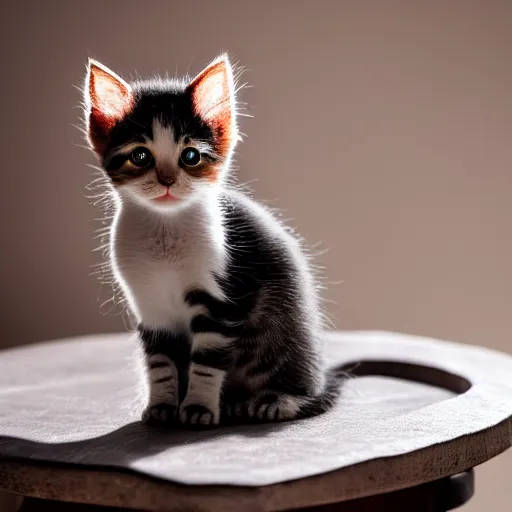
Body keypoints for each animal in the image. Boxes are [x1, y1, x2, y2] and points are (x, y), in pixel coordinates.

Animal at [83, 54, 340, 426]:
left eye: (190, 156)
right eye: (140, 156)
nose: (167, 180)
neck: (166, 232)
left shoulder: (220, 300)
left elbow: (207, 360)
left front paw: (198, 408)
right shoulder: (150, 308)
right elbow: (160, 363)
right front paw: (162, 406)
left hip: (285, 331)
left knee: (313, 395)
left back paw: (276, 401)